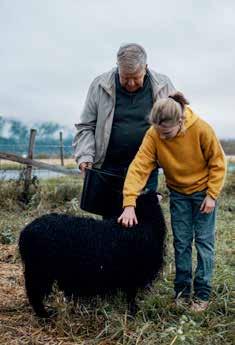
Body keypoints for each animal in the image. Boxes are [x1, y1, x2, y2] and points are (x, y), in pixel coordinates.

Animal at [19, 191, 167, 318]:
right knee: (34, 294)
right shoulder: (134, 274)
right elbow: (131, 296)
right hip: (39, 271)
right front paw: (133, 312)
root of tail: (25, 231)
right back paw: (45, 315)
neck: (144, 222)